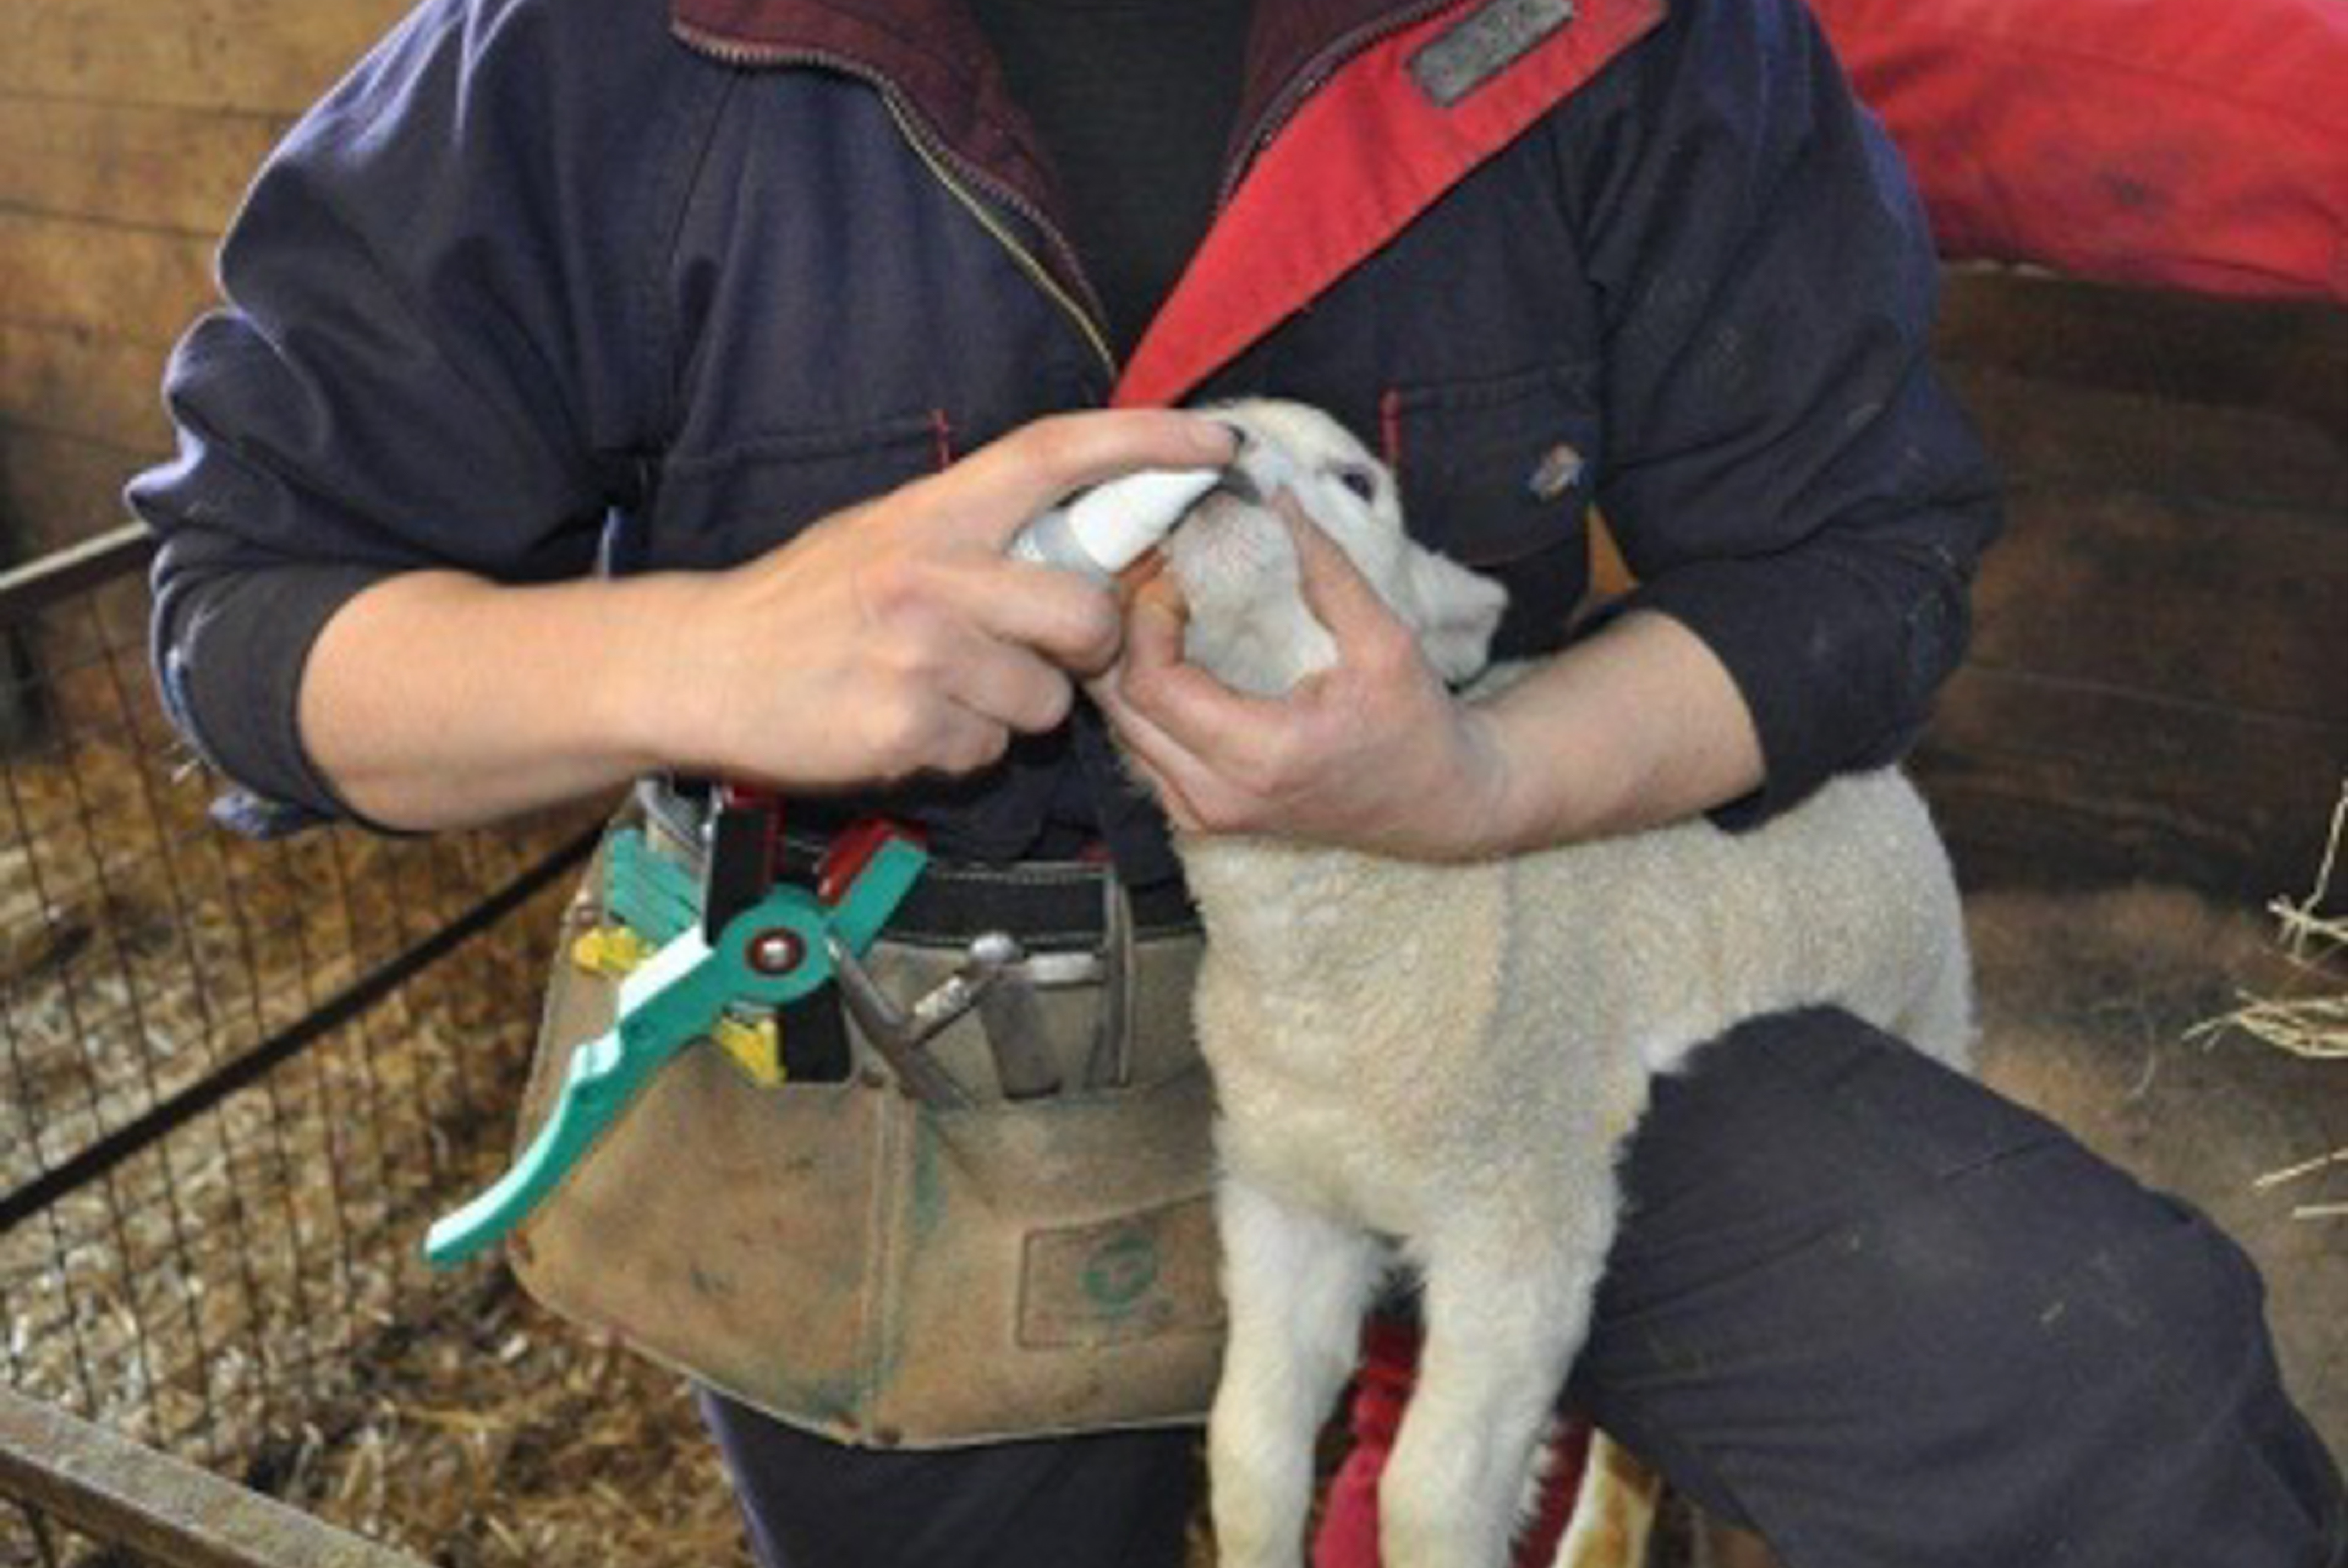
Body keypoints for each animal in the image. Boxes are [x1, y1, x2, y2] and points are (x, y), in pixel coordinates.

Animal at [1130, 399, 1976, 1568]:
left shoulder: (1521, 1209)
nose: (1218, 442)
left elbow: (1429, 1494)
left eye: (1357, 480)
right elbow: (1249, 1452)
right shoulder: (1282, 1195)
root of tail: (1886, 774)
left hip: (1928, 1004)